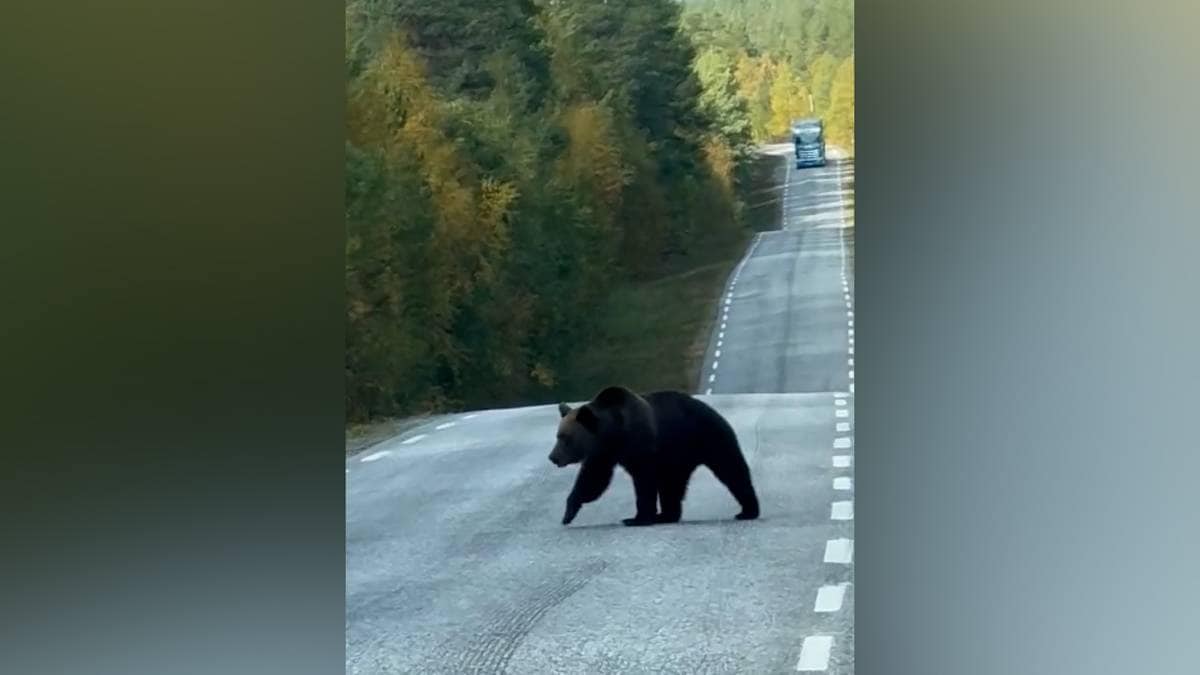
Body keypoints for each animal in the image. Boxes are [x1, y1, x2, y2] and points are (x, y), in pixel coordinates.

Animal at [547, 384, 758, 526]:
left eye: (565, 438)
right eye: (558, 435)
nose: (553, 457)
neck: (615, 432)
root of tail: (715, 411)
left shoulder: (641, 446)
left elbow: (644, 482)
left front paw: (637, 518)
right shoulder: (604, 454)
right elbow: (592, 480)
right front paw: (568, 513)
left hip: (709, 438)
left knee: (731, 469)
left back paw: (748, 511)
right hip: (678, 457)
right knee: (672, 485)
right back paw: (667, 515)